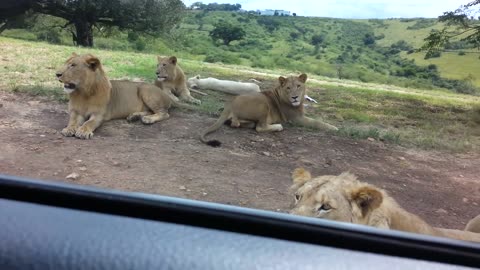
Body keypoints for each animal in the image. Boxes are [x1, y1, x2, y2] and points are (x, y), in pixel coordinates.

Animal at [55, 52, 192, 139]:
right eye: (65, 63)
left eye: (73, 65)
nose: (57, 74)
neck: (83, 92)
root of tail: (166, 94)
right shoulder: (75, 112)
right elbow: (72, 121)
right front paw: (69, 129)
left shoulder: (98, 114)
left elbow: (89, 123)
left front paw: (83, 131)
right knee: (150, 111)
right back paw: (134, 116)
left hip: (145, 89)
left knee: (164, 113)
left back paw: (148, 119)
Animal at [199, 73, 338, 147]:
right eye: (288, 88)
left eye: (299, 86)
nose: (295, 97)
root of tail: (230, 103)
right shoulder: (296, 118)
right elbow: (317, 122)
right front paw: (334, 128)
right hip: (264, 104)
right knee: (259, 127)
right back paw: (277, 126)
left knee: (236, 123)